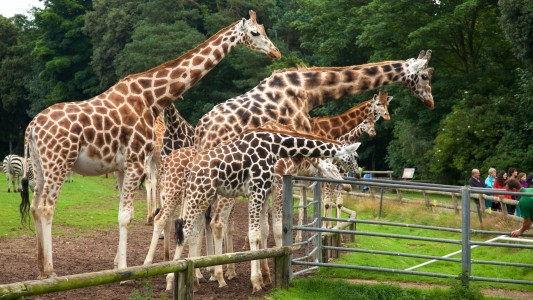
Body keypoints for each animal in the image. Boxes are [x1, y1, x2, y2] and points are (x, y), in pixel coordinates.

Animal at [18, 11, 280, 278]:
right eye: (255, 32)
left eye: (264, 30)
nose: (276, 52)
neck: (152, 97)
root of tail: (31, 128)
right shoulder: (136, 161)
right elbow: (126, 216)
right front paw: (125, 271)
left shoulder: (122, 166)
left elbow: (125, 213)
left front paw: (116, 264)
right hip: (59, 163)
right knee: (46, 208)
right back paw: (51, 271)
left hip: (40, 165)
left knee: (35, 207)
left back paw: (40, 269)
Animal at [172, 126, 360, 292]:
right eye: (352, 155)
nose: (354, 178)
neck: (275, 147)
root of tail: (189, 170)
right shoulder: (258, 190)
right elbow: (256, 234)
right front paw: (256, 282)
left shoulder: (264, 191)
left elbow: (263, 230)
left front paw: (264, 278)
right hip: (200, 194)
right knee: (186, 230)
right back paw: (173, 279)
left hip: (202, 196)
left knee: (194, 231)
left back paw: (196, 281)